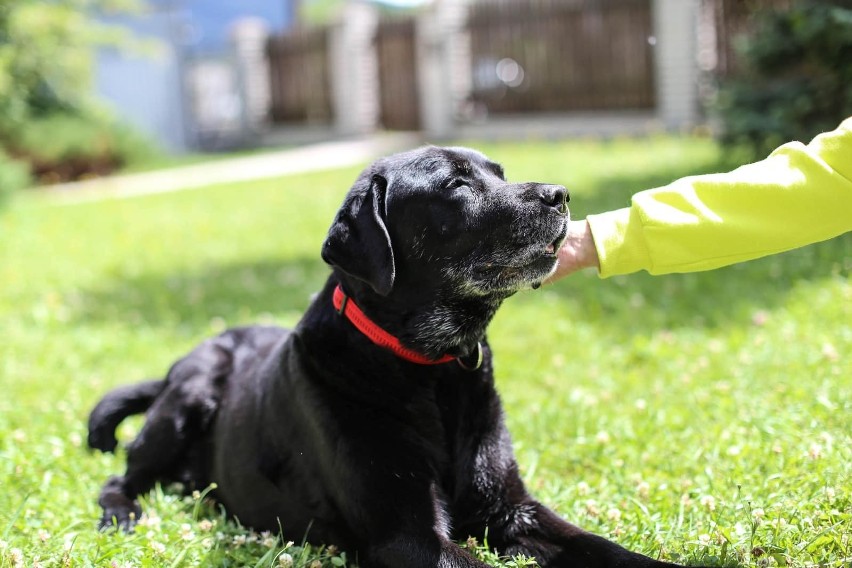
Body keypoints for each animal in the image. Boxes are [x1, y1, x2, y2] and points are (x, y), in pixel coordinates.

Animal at [88, 148, 684, 568]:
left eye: (499, 172)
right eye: (457, 185)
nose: (559, 194)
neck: (433, 368)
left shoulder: (511, 508)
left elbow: (602, 547)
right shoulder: (407, 535)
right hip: (189, 396)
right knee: (119, 477)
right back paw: (122, 514)